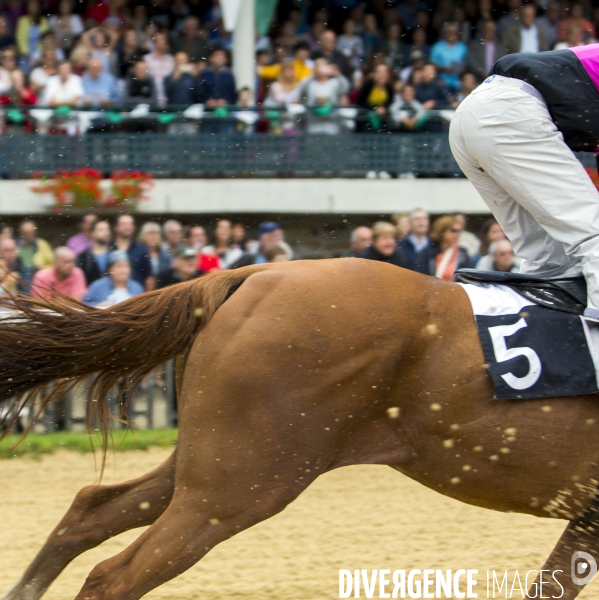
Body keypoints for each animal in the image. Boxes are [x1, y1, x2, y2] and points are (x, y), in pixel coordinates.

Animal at [1, 262, 599, 600]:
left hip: (218, 462)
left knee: (90, 508)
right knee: (114, 577)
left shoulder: (586, 518)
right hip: (240, 485)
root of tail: (252, 276)